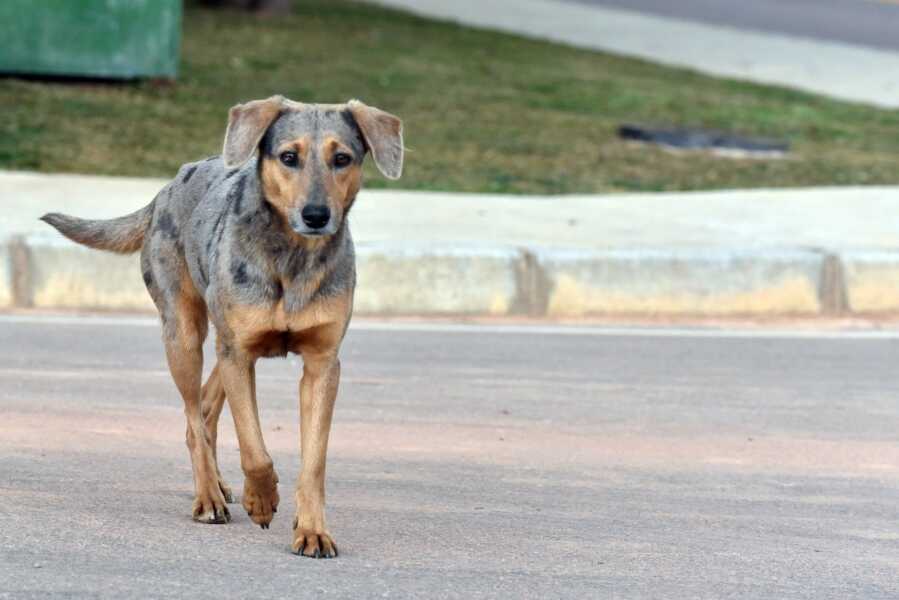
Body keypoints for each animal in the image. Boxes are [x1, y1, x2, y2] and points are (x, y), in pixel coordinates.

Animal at [41, 95, 404, 556]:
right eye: (289, 157)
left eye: (342, 158)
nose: (316, 215)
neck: (293, 257)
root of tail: (166, 189)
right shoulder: (239, 353)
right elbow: (255, 449)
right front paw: (262, 499)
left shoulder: (322, 364)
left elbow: (314, 461)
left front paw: (312, 529)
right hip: (184, 336)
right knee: (194, 421)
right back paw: (209, 497)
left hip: (223, 348)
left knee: (207, 407)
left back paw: (218, 483)